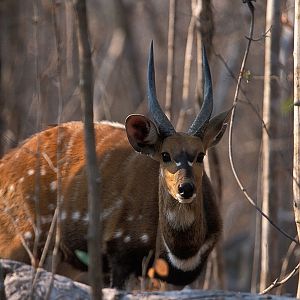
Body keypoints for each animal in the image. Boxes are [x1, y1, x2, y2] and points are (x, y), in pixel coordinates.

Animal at [0, 42, 231, 288]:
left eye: (200, 155)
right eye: (165, 155)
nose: (185, 188)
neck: (181, 255)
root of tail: (5, 163)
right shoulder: (119, 255)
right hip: (22, 241)